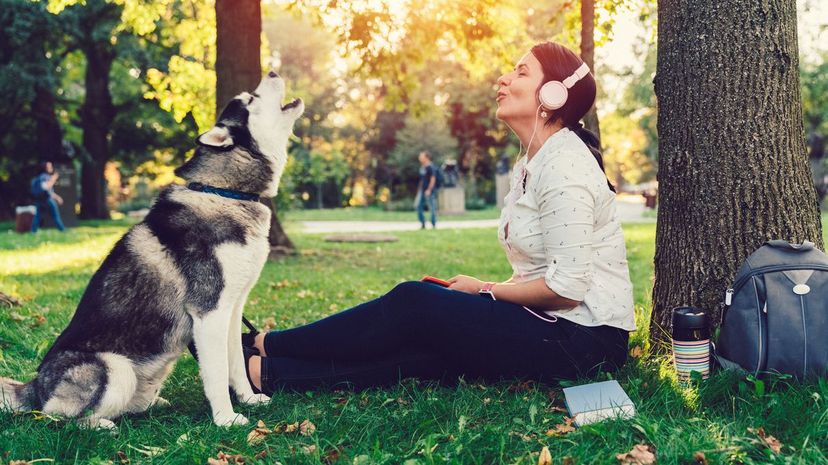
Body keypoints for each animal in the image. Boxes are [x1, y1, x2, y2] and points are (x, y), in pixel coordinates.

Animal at [0, 70, 304, 426]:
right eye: (251, 99)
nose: (272, 72)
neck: (225, 192)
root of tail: (35, 387)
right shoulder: (209, 312)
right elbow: (216, 373)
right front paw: (225, 419)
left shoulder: (231, 309)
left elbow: (236, 365)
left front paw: (249, 399)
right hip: (114, 368)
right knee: (61, 419)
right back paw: (100, 426)